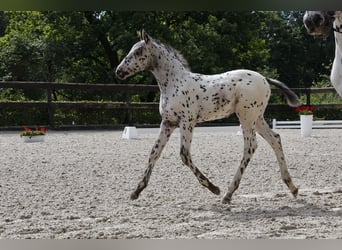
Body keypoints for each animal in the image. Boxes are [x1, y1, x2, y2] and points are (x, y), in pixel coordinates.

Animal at [115, 29, 300, 203]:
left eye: (138, 52)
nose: (119, 71)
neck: (174, 83)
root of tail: (264, 79)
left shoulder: (187, 122)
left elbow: (184, 155)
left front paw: (213, 188)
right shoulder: (168, 123)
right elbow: (154, 152)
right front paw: (136, 191)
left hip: (246, 117)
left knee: (250, 147)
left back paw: (228, 193)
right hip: (257, 118)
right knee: (275, 139)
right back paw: (292, 187)